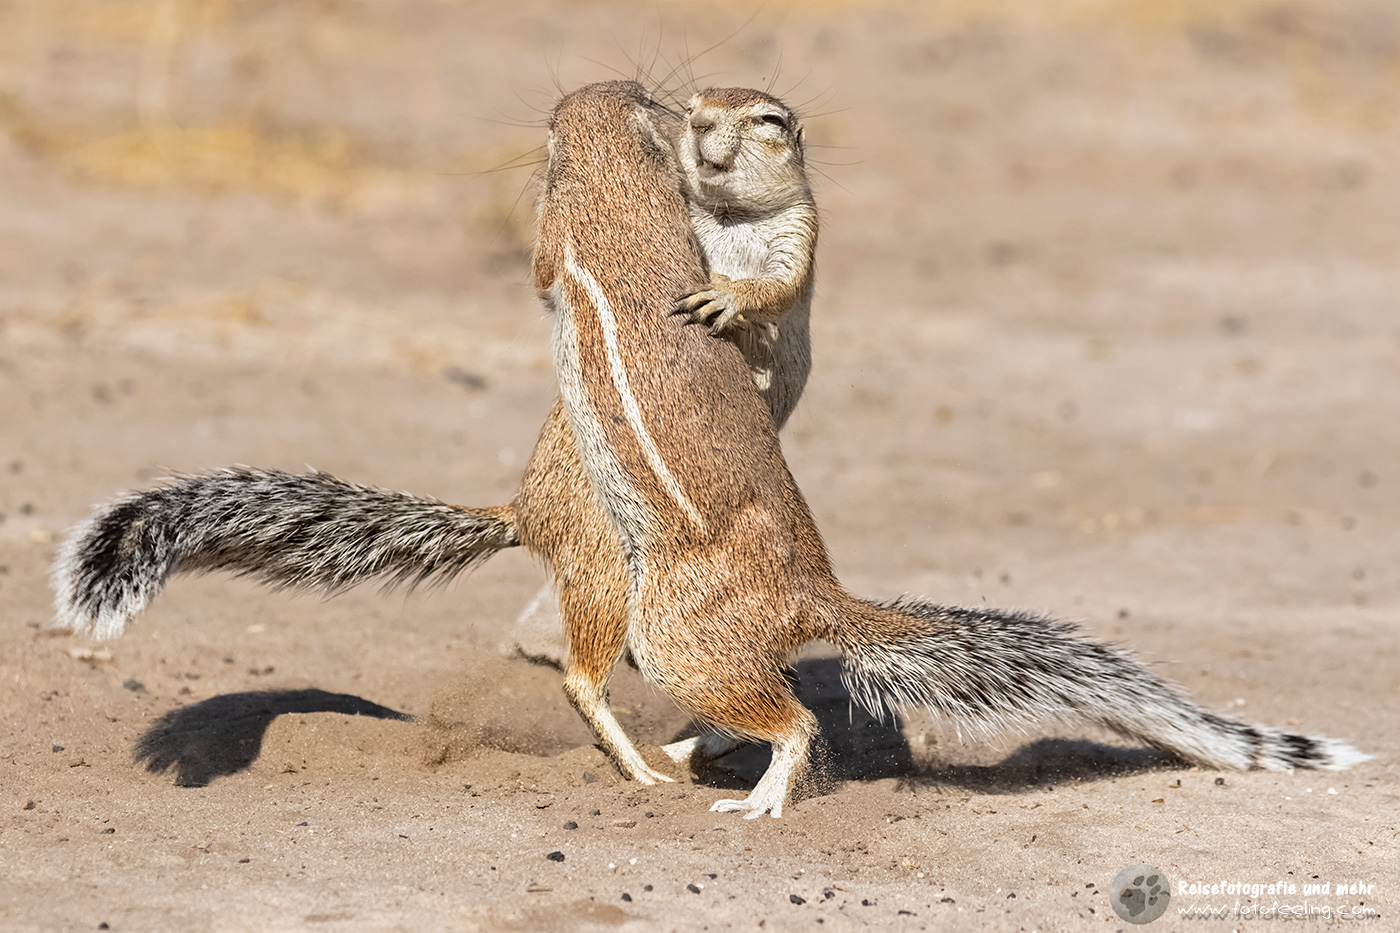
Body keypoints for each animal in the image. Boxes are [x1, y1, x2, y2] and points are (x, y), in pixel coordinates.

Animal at [51, 84, 818, 787]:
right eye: (668, 105)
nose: (689, 119)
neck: (611, 173)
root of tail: (523, 513)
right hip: (608, 565)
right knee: (585, 673)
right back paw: (640, 764)